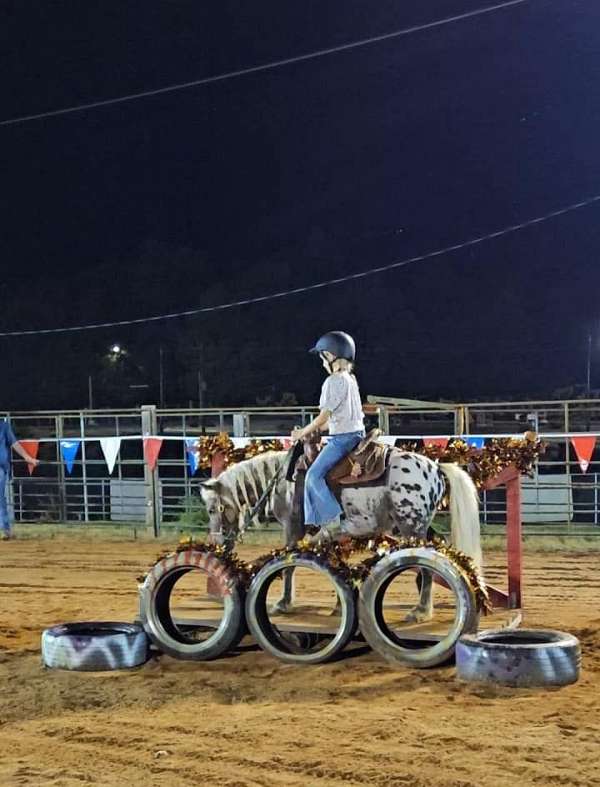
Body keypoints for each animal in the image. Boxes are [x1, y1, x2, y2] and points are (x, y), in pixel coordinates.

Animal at [199, 450, 480, 620]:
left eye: (213, 508)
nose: (217, 543)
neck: (282, 480)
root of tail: (436, 467)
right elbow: (335, 563)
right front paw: (337, 605)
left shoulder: (293, 525)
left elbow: (289, 565)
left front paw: (283, 603)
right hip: (412, 526)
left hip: (412, 525)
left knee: (426, 563)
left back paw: (421, 610)